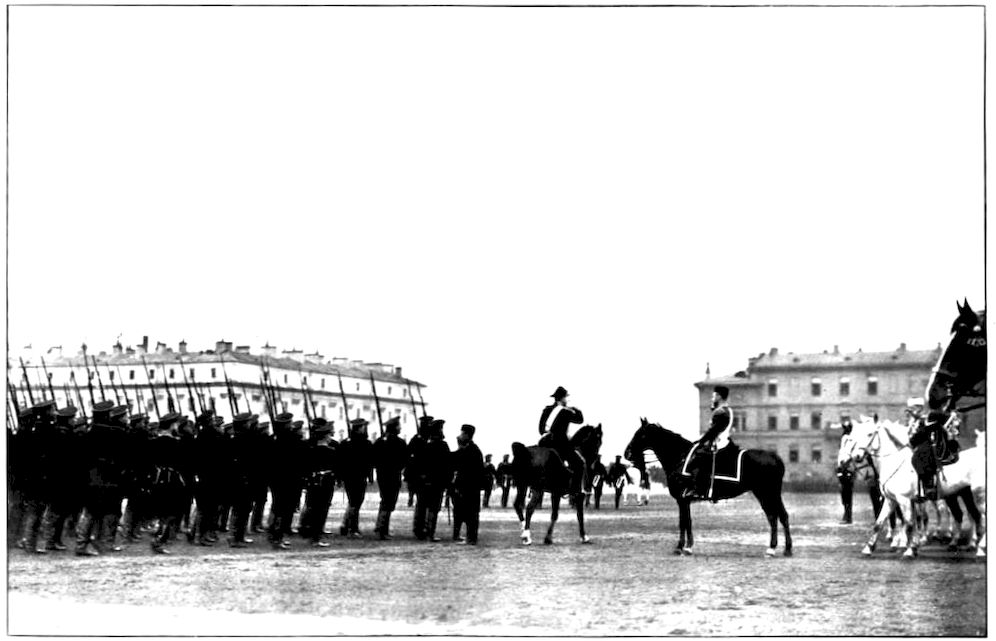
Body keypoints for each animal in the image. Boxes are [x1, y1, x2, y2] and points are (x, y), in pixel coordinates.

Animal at [624, 419, 791, 557]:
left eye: (640, 435)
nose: (627, 453)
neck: (680, 457)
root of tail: (775, 457)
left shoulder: (682, 499)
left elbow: (683, 522)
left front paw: (682, 547)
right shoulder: (684, 500)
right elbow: (686, 521)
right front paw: (686, 547)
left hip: (767, 493)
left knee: (777, 516)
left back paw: (778, 549)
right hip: (766, 494)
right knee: (776, 516)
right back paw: (780, 549)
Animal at [842, 417, 986, 559]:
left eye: (870, 434)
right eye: (854, 435)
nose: (856, 456)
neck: (894, 462)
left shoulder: (903, 500)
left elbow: (909, 524)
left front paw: (909, 550)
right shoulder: (891, 500)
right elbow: (879, 523)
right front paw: (869, 548)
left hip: (978, 495)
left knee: (980, 517)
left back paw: (980, 548)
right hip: (962, 494)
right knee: (969, 515)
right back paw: (962, 544)